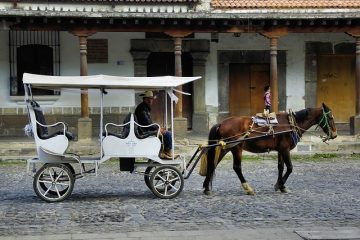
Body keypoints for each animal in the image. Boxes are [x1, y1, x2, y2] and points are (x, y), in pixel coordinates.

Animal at [202, 102, 338, 195]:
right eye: (330, 117)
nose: (335, 134)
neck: (291, 123)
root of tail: (221, 123)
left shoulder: (281, 150)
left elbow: (280, 167)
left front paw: (280, 185)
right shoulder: (285, 149)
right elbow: (290, 168)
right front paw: (280, 185)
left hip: (225, 148)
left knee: (212, 164)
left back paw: (206, 187)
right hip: (236, 148)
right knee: (236, 167)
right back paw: (248, 188)